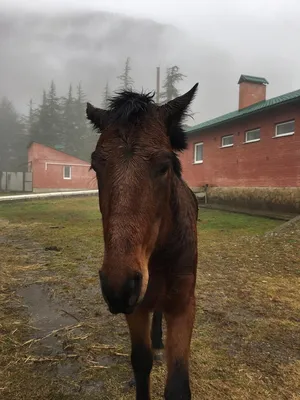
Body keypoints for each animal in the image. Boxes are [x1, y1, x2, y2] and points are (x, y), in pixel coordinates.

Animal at [85, 83, 199, 398]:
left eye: (164, 166)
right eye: (96, 166)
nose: (119, 286)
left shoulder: (184, 306)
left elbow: (177, 385)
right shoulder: (136, 307)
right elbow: (141, 362)